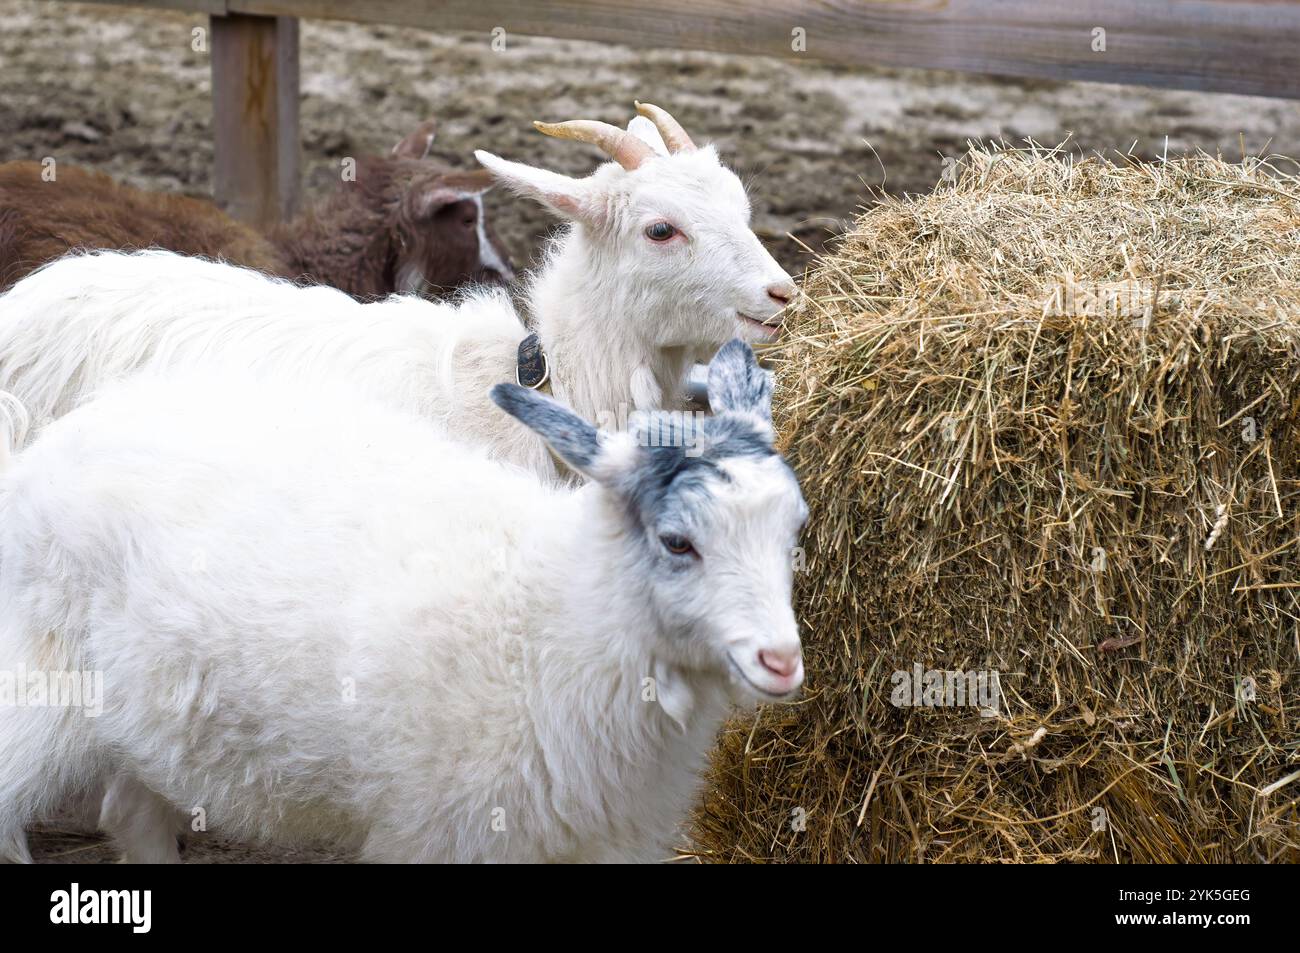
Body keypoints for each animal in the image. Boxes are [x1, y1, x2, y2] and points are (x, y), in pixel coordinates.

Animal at [0, 340, 807, 863]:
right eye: (677, 541)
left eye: (794, 527)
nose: (781, 660)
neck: (547, 615)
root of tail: (40, 451)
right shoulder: (437, 833)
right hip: (42, 676)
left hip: (155, 716)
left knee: (131, 813)